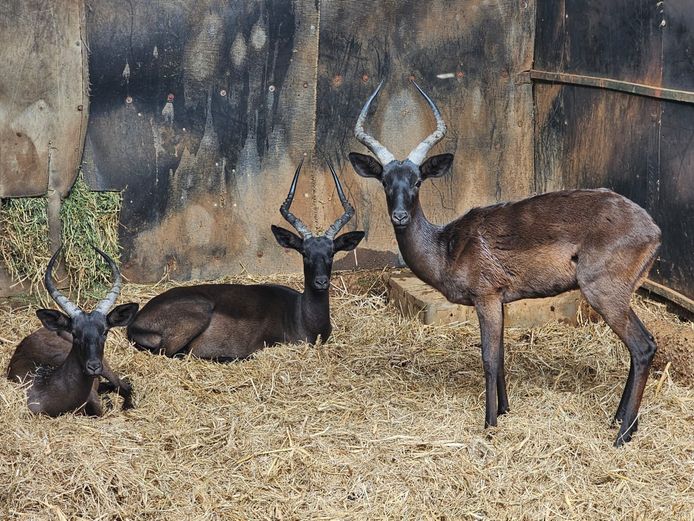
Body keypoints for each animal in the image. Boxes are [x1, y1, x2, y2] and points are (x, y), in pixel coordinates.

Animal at [127, 161, 365, 360]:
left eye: (332, 252)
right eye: (304, 253)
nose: (321, 282)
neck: (302, 318)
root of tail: (135, 322)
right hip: (196, 315)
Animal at [349, 81, 661, 446]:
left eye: (417, 181)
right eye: (385, 181)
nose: (399, 216)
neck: (447, 246)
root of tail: (653, 229)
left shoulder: (485, 296)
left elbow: (488, 358)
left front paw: (489, 423)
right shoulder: (500, 300)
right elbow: (500, 357)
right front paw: (504, 410)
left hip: (604, 293)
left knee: (642, 346)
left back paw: (622, 435)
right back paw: (621, 422)